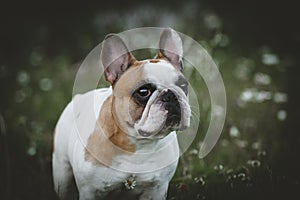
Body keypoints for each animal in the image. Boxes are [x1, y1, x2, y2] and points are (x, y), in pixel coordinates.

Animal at [52, 28, 191, 200]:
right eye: (143, 92)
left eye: (183, 85)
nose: (171, 94)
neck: (138, 146)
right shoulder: (89, 191)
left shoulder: (157, 189)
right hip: (62, 173)